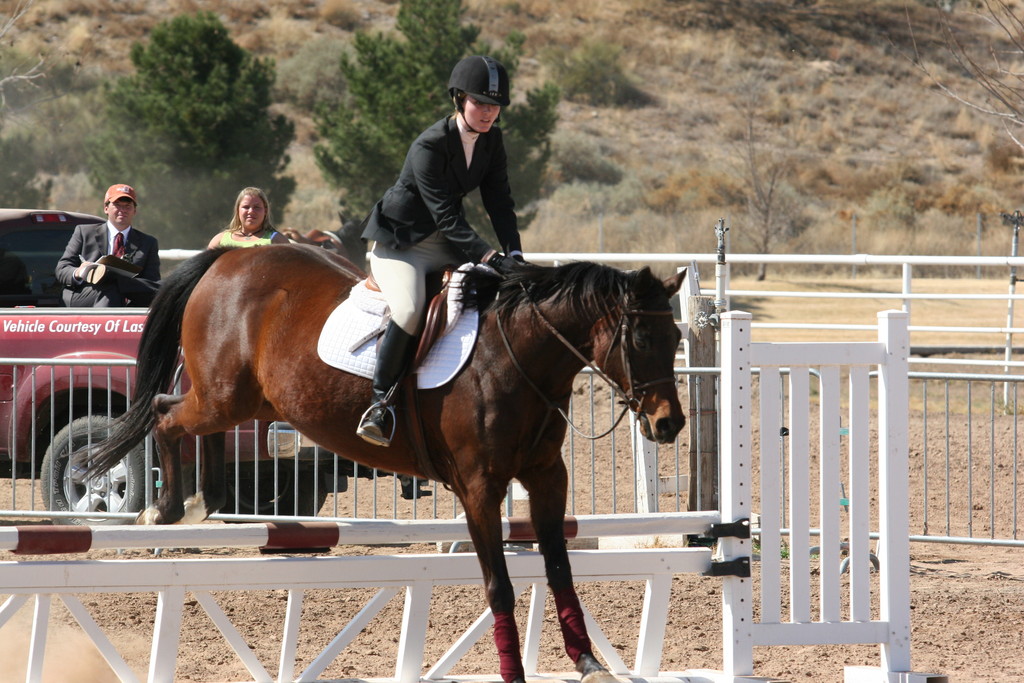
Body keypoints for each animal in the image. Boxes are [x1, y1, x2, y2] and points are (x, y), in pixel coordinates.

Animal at [81, 244, 688, 683]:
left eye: (677, 334)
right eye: (639, 337)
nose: (669, 425)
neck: (517, 355)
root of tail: (226, 257)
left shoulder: (546, 476)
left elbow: (560, 567)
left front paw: (588, 662)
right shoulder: (479, 486)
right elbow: (499, 584)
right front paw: (513, 672)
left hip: (245, 399)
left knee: (193, 425)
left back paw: (205, 500)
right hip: (224, 395)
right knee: (166, 416)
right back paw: (165, 509)